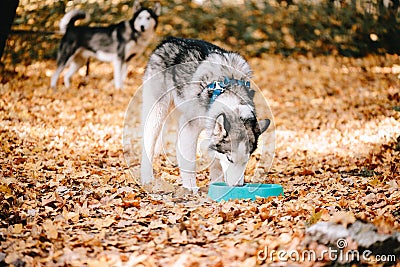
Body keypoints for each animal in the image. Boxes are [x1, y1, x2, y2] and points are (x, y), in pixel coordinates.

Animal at [139, 37, 270, 193]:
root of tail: (169, 40)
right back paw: (147, 178)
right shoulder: (189, 127)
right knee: (148, 144)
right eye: (230, 159)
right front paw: (190, 187)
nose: (238, 187)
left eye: (246, 161)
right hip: (157, 114)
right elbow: (190, 162)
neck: (226, 91)